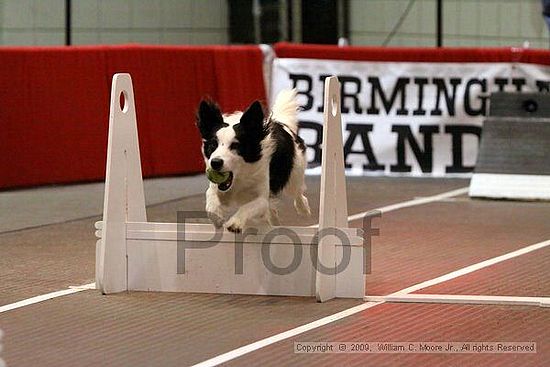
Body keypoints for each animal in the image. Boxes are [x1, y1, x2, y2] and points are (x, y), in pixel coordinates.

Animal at [197, 90, 310, 233]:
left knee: (298, 192)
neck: (239, 177)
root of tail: (280, 123)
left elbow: (249, 206)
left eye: (236, 146)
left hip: (294, 174)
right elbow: (210, 197)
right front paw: (216, 216)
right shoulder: (217, 188)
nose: (215, 162)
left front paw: (235, 223)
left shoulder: (261, 198)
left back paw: (303, 208)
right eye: (213, 145)